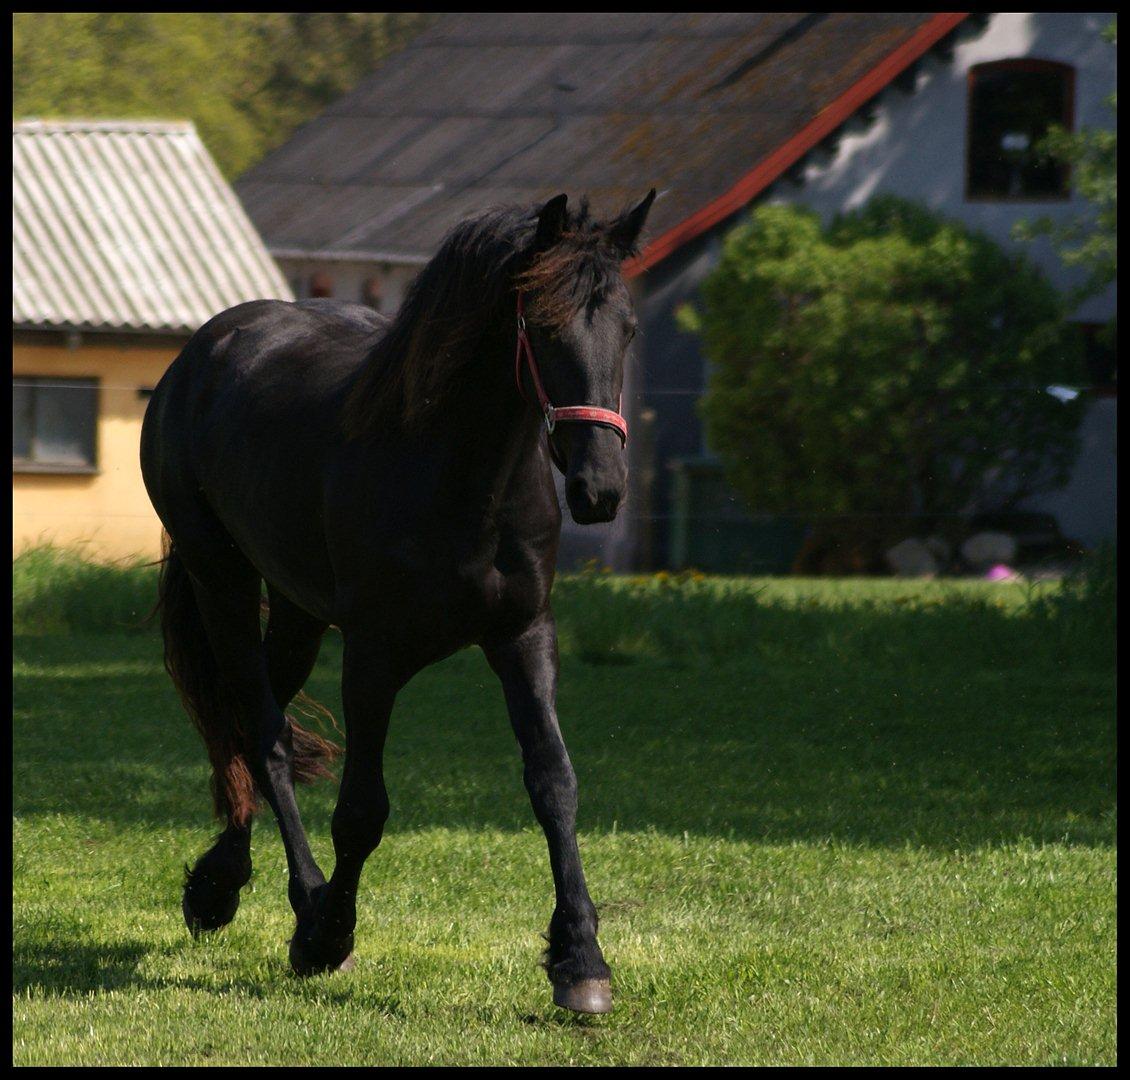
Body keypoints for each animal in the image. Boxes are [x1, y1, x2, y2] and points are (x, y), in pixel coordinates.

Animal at [140, 192, 655, 1012]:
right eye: (541, 328)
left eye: (627, 328)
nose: (599, 489)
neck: (461, 481)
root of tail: (202, 351)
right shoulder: (373, 657)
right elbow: (361, 811)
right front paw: (327, 937)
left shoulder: (523, 637)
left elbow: (554, 784)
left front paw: (581, 961)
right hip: (222, 578)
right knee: (260, 729)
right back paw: (292, 901)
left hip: (297, 609)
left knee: (250, 722)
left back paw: (219, 882)